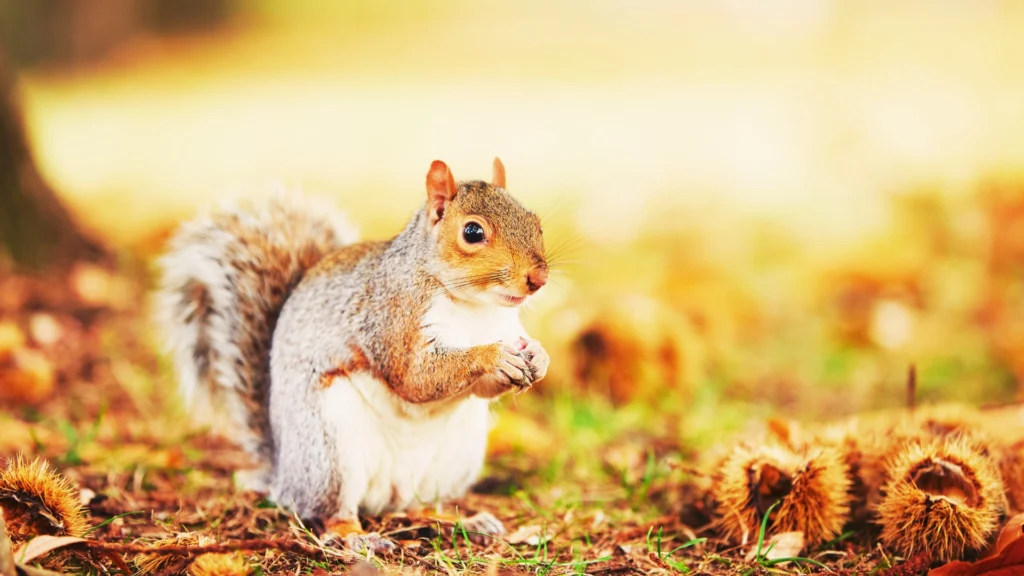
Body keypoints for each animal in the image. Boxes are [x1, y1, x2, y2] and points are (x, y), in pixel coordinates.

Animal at [155, 158, 550, 552]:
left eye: (537, 223)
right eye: (472, 232)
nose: (539, 279)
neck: (474, 307)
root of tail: (282, 472)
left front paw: (539, 356)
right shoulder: (393, 318)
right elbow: (415, 378)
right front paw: (494, 356)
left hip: (454, 458)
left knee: (420, 506)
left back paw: (465, 520)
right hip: (329, 452)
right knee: (331, 513)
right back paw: (358, 537)